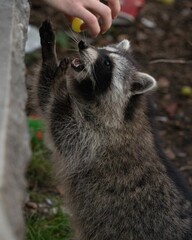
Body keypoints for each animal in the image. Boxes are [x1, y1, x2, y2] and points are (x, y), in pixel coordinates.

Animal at [35, 20, 192, 240]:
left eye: (107, 63)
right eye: (103, 49)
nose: (83, 44)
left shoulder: (99, 138)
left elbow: (64, 129)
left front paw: (60, 85)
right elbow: (45, 101)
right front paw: (49, 54)